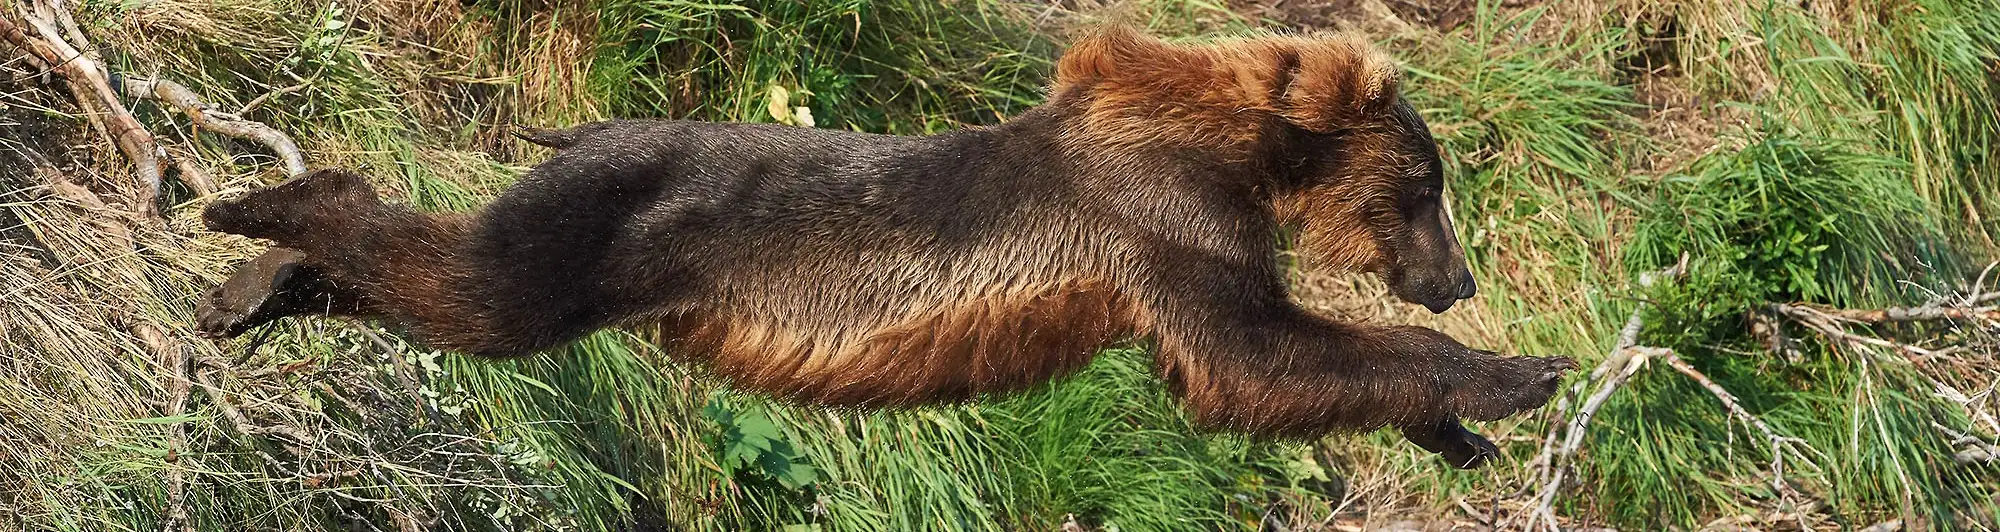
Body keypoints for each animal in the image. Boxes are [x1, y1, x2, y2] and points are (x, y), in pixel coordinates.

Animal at [196, 27, 1575, 469]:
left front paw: (1462, 427)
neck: (1239, 158)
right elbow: (1253, 354)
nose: (1455, 276)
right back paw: (249, 219)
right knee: (471, 279)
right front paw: (1517, 374)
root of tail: (579, 121)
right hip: (599, 226)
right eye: (1425, 186)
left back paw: (248, 291)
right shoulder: (1165, 223)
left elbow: (1276, 363)